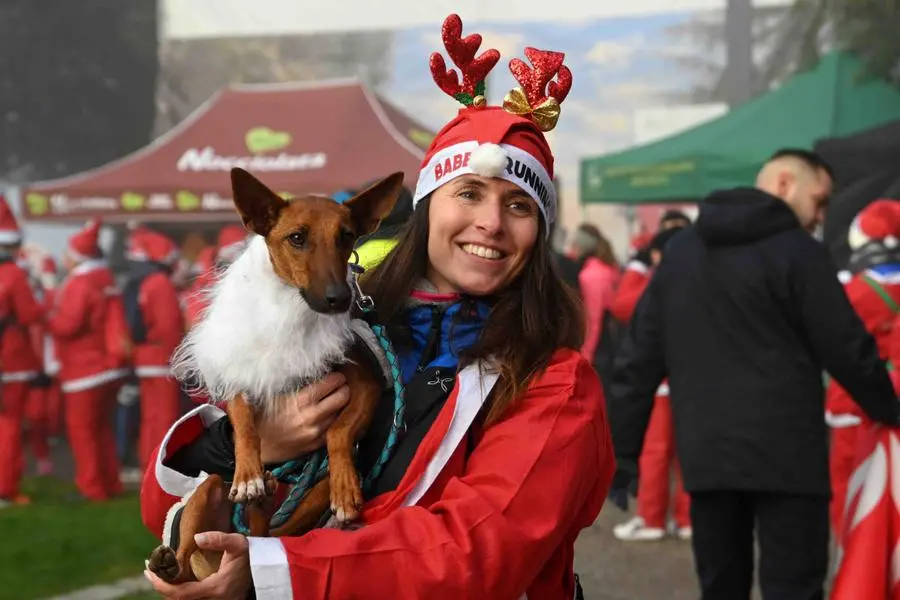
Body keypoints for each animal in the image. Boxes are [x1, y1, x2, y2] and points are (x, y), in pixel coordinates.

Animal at [148, 168, 400, 580]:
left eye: (346, 236)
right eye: (297, 238)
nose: (339, 298)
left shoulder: (366, 385)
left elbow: (338, 431)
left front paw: (346, 488)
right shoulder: (243, 374)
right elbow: (245, 422)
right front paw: (248, 475)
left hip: (308, 493)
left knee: (270, 532)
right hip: (207, 491)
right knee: (186, 562)